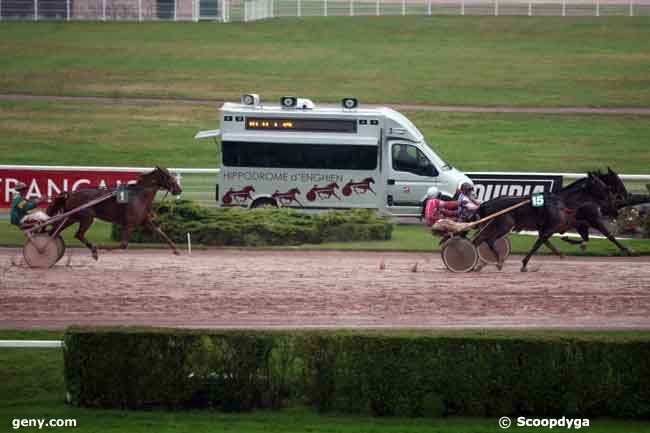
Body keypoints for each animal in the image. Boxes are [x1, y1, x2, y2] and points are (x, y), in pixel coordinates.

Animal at [46, 165, 181, 260]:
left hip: (72, 217)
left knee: (55, 230)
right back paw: (93, 250)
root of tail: (71, 193)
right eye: (169, 177)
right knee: (78, 234)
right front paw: (100, 246)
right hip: (87, 217)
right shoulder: (129, 224)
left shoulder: (144, 221)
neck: (139, 195)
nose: (179, 189)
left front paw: (176, 250)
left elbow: (161, 232)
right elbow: (123, 244)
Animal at [470, 174, 612, 272]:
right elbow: (537, 245)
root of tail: (485, 204)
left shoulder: (547, 228)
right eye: (600, 184)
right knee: (484, 239)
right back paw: (495, 262)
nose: (610, 198)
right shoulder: (550, 228)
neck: (559, 201)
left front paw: (562, 253)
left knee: (482, 240)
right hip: (503, 225)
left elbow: (546, 242)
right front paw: (524, 264)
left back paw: (483, 264)